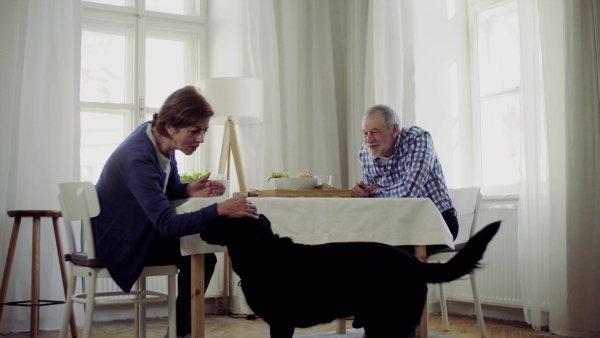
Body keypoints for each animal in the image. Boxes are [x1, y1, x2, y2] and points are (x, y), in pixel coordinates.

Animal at [202, 215, 502, 336]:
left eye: (222, 218)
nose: (202, 223)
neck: (263, 254)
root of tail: (415, 262)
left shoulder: (282, 323)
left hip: (389, 324)